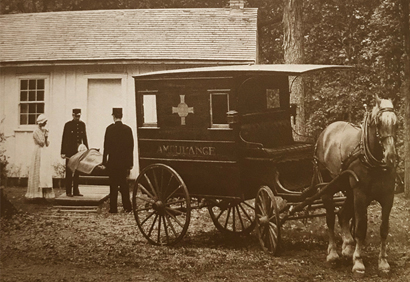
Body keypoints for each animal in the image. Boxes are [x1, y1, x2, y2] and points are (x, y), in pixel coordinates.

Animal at [314, 94, 398, 276]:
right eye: (378, 123)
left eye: (396, 123)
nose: (390, 156)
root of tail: (326, 131)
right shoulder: (360, 195)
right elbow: (360, 229)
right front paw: (358, 262)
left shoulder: (388, 196)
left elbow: (384, 229)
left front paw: (383, 262)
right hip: (327, 187)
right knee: (330, 218)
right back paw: (332, 253)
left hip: (348, 189)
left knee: (342, 214)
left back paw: (347, 247)